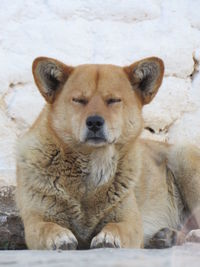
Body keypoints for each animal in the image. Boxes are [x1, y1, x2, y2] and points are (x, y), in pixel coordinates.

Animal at [16, 56, 200, 251]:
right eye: (79, 100)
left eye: (113, 100)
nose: (94, 122)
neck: (92, 164)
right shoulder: (35, 220)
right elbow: (46, 227)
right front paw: (59, 236)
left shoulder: (130, 221)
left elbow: (116, 226)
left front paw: (108, 237)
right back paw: (167, 236)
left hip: (184, 159)